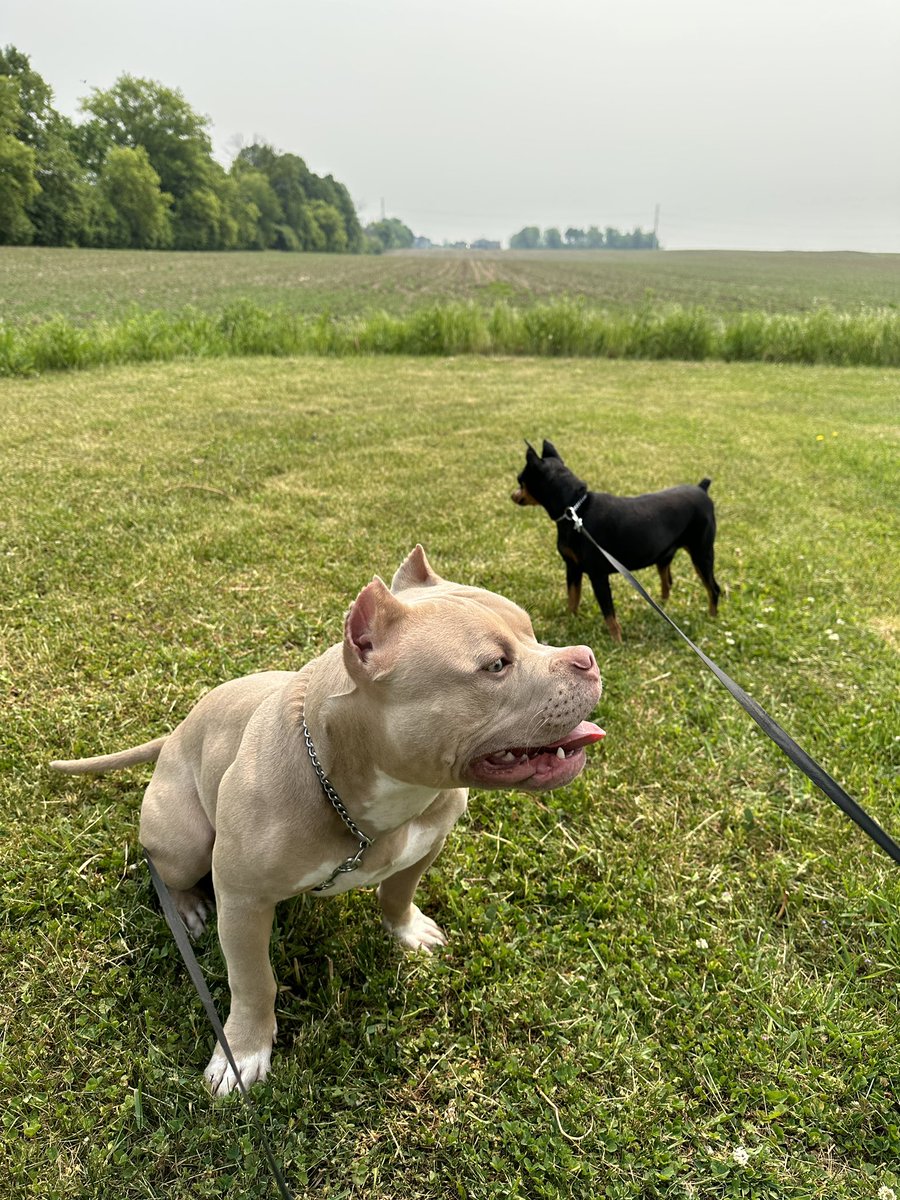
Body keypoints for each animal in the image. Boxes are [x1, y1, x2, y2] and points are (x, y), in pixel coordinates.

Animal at [513, 441, 724, 643]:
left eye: (520, 480)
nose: (513, 495)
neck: (576, 511)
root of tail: (702, 488)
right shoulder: (572, 567)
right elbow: (573, 598)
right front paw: (569, 623)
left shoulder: (598, 575)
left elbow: (609, 614)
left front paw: (617, 643)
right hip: (665, 556)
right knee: (668, 581)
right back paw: (662, 608)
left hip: (702, 553)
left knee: (714, 588)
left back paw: (712, 618)